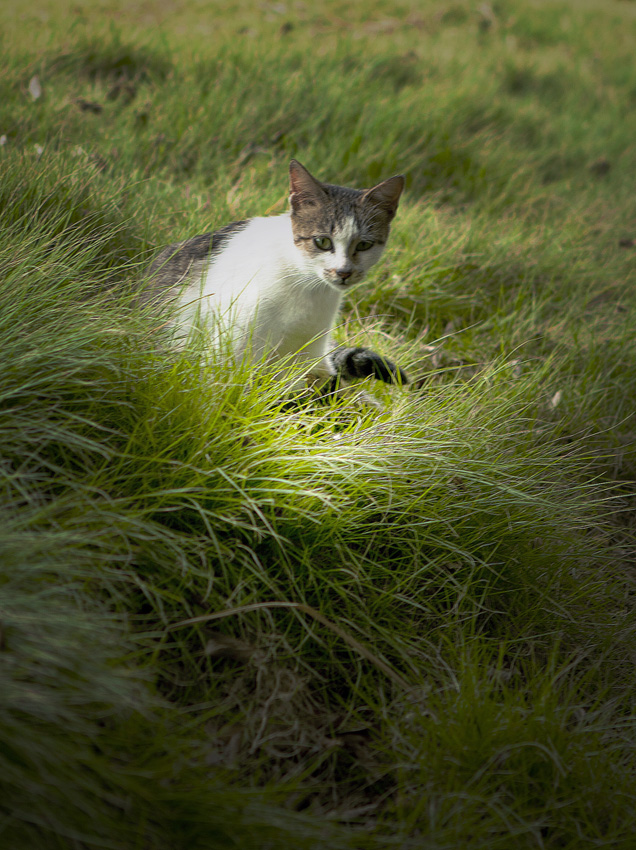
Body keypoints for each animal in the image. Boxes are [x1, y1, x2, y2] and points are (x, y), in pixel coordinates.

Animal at [145, 158, 408, 394]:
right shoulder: (233, 344)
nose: (343, 272)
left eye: (364, 245)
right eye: (322, 242)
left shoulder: (310, 354)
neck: (307, 285)